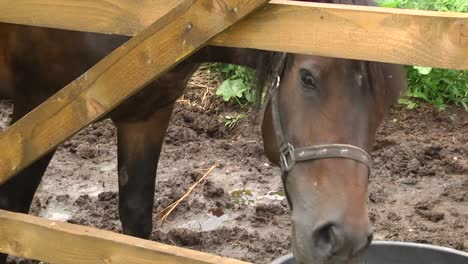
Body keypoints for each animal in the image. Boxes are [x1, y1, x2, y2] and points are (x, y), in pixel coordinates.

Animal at [0, 0, 406, 264]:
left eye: (386, 103)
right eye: (307, 78)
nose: (343, 238)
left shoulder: (146, 118)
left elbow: (136, 220)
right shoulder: (34, 115)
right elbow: (14, 216)